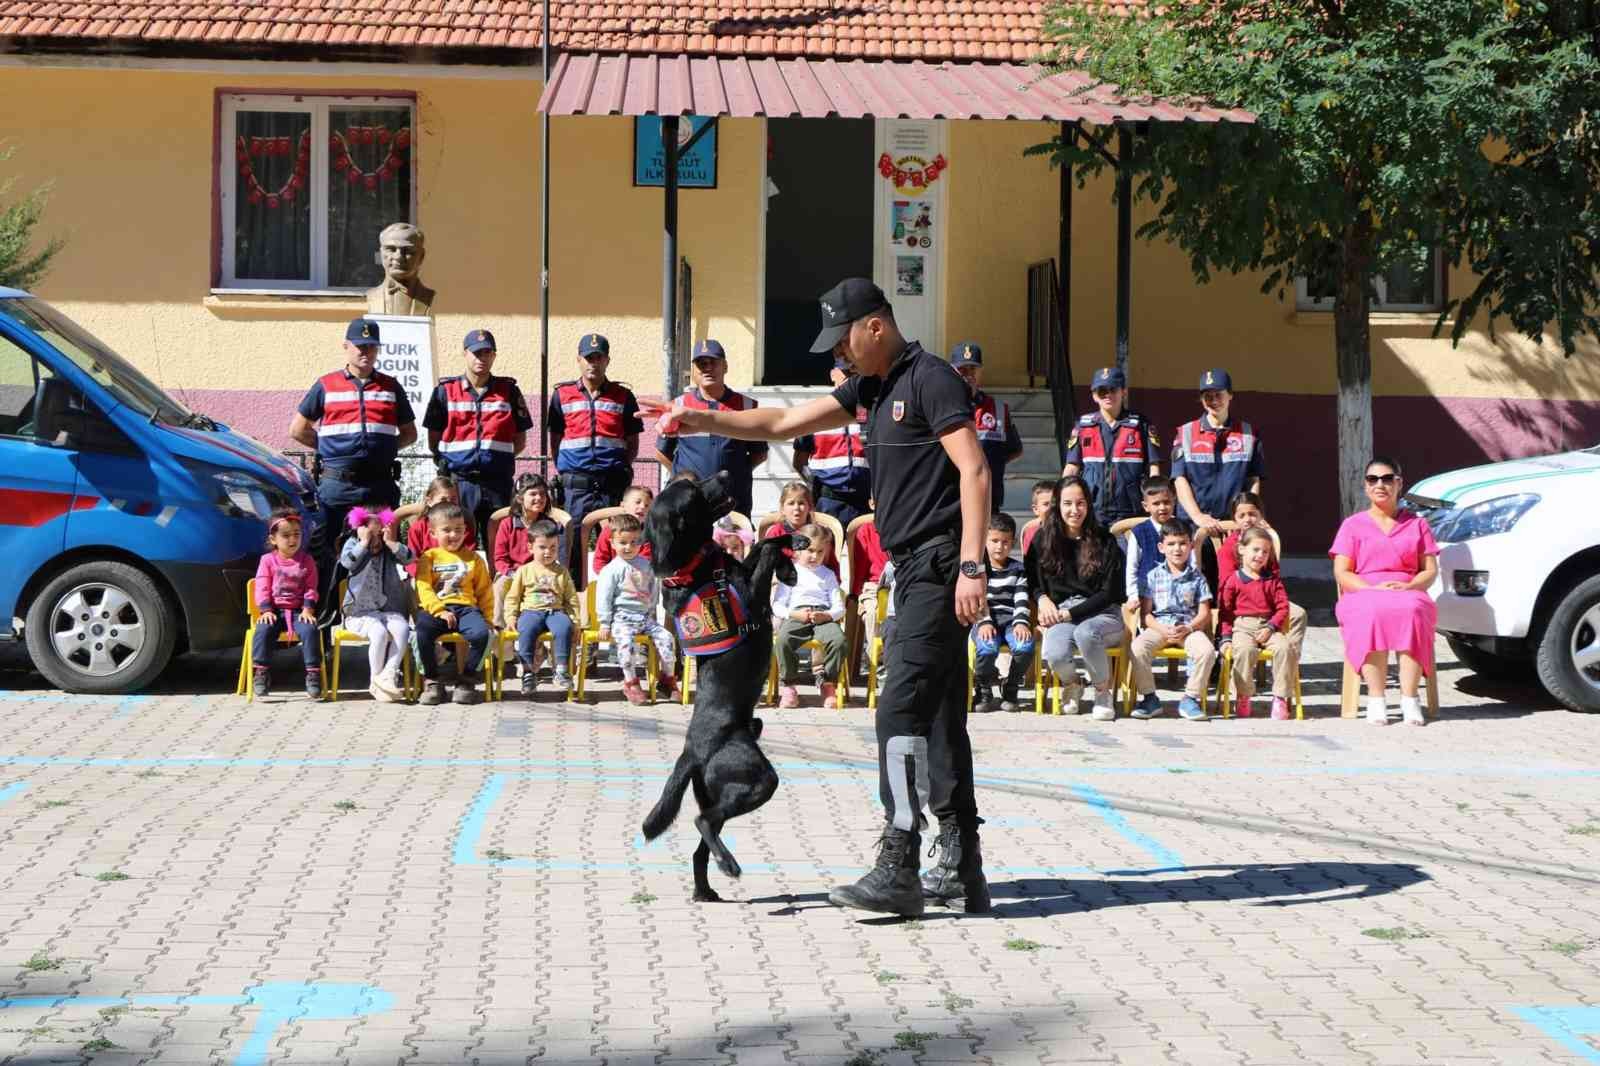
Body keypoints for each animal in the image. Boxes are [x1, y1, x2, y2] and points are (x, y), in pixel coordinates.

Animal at [640, 473, 806, 896]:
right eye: (694, 493)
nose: (726, 475)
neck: (694, 567)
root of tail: (690, 752)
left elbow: (763, 545)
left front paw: (793, 551)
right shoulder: (754, 596)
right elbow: (766, 551)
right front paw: (789, 556)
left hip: (719, 789)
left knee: (704, 837)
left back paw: (706, 889)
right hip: (756, 777)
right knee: (704, 822)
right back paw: (729, 866)